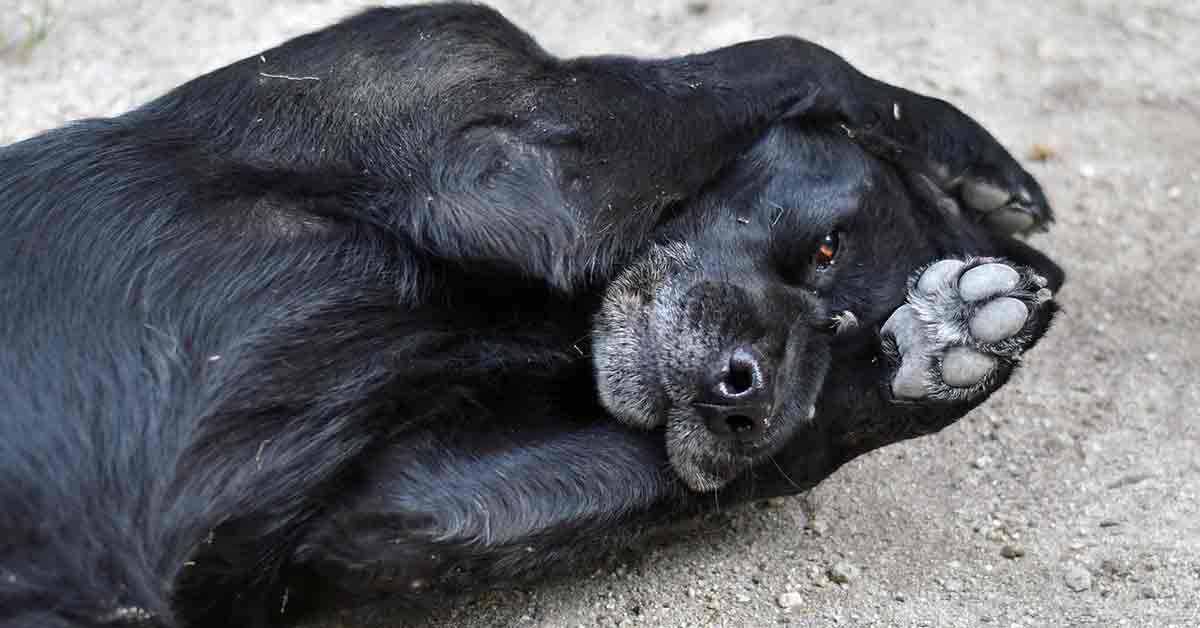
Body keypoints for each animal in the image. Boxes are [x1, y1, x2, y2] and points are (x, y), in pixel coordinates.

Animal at [0, 4, 1056, 628]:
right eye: (826, 247)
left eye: (846, 337)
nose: (745, 406)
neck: (550, 319)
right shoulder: (501, 160)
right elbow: (794, 49)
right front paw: (963, 147)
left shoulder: (393, 511)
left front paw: (940, 354)